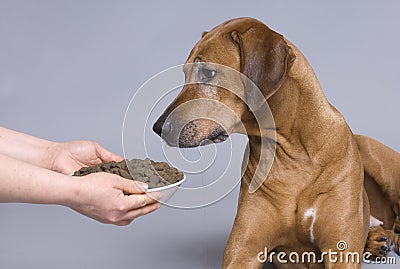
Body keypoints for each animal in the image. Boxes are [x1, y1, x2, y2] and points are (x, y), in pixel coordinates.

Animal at [152, 17, 396, 266]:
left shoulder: (341, 252)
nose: (159, 128)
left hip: (375, 156)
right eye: (185, 74)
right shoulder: (242, 252)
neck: (295, 155)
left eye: (208, 73)